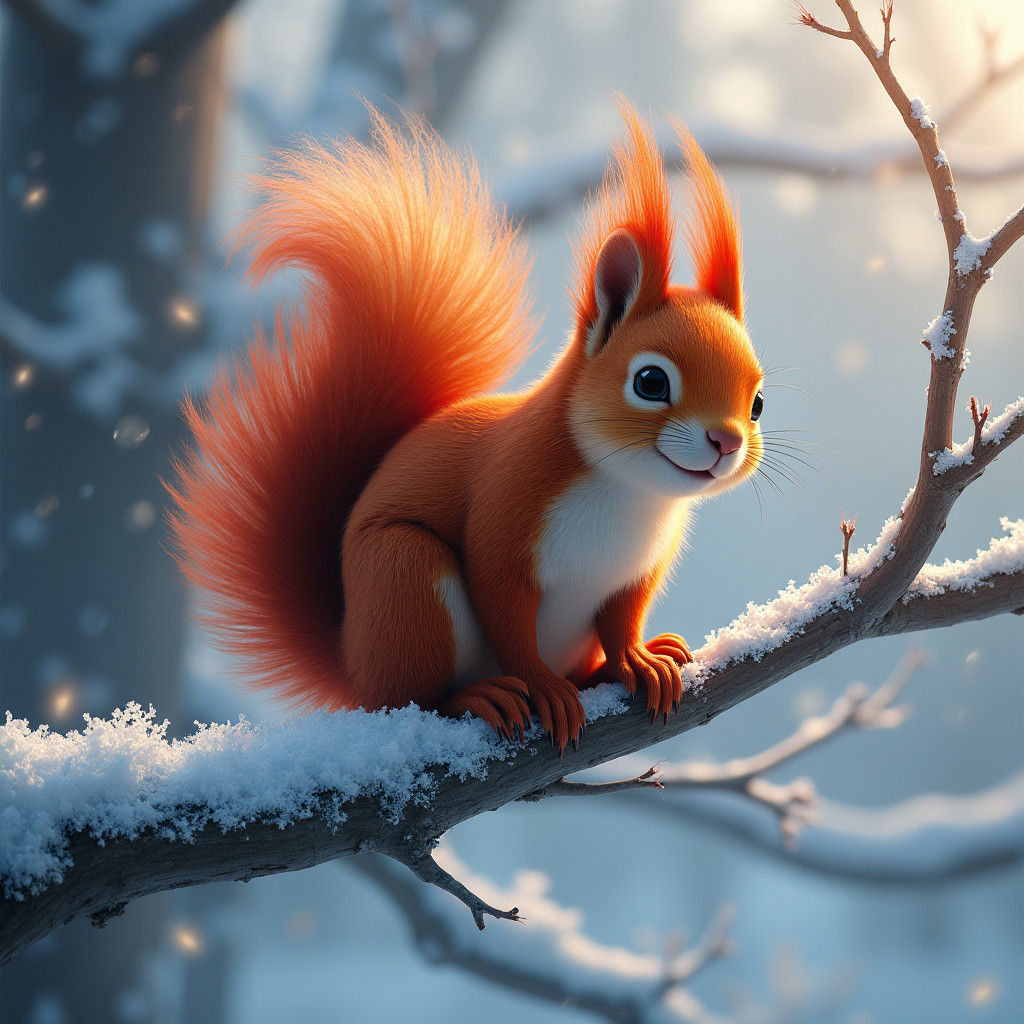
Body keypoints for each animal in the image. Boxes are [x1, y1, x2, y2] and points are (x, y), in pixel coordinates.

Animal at [168, 102, 764, 751]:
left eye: (757, 402)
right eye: (651, 382)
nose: (726, 441)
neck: (629, 493)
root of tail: (353, 663)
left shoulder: (634, 574)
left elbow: (620, 618)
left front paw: (633, 659)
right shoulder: (507, 514)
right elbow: (504, 606)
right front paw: (543, 686)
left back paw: (610, 669)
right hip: (404, 579)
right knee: (417, 699)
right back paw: (479, 697)